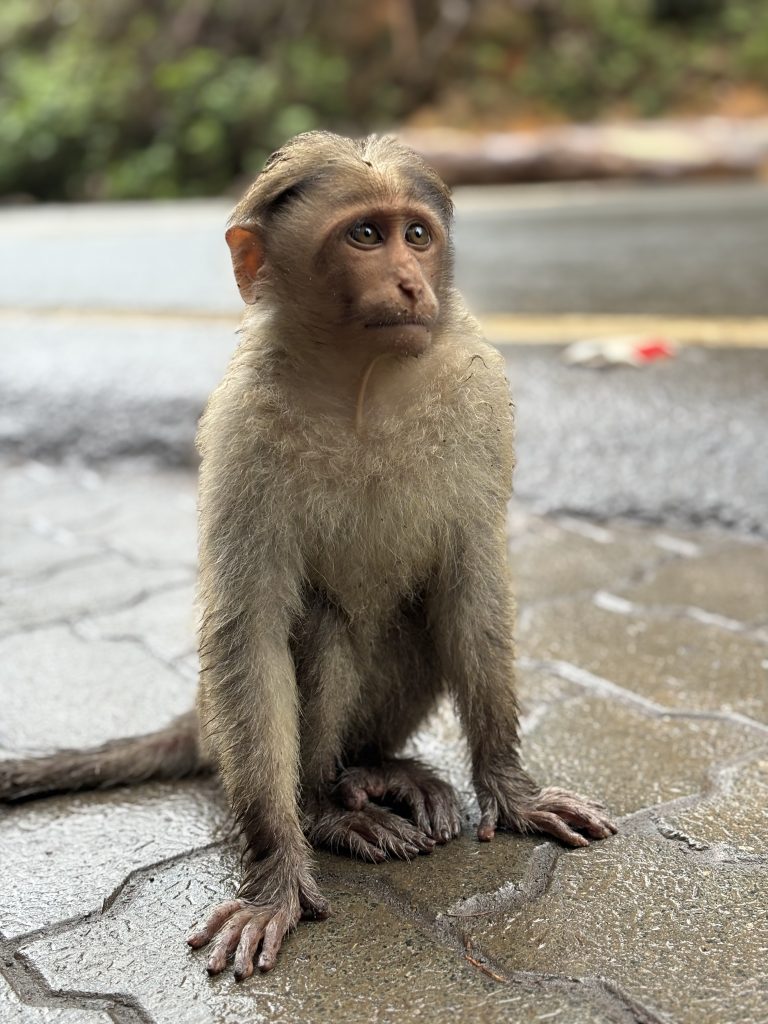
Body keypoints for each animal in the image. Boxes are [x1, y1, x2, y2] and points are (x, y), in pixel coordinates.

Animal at [0, 132, 618, 978]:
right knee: (320, 627)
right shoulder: (242, 425)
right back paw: (329, 802)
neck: (361, 383)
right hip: (228, 723)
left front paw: (510, 787)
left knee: (419, 608)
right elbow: (250, 626)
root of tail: (198, 716)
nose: (409, 283)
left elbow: (471, 582)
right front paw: (277, 876)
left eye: (415, 234)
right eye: (364, 236)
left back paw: (379, 767)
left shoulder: (479, 393)